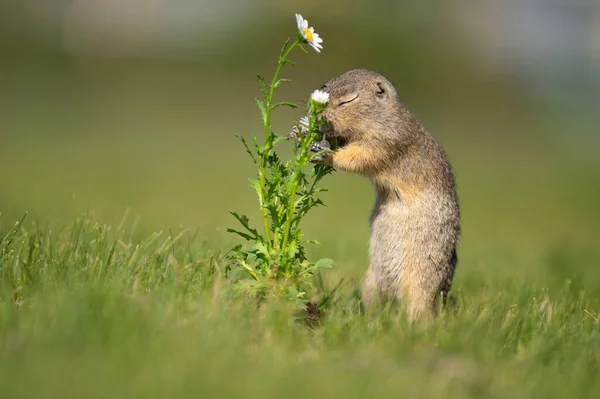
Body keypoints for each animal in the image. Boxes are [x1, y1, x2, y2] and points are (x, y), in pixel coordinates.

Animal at [310, 69, 460, 318]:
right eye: (324, 89)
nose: (320, 119)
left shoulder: (387, 139)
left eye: (347, 101)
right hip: (371, 280)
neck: (382, 116)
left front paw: (328, 155)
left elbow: (361, 155)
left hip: (420, 280)